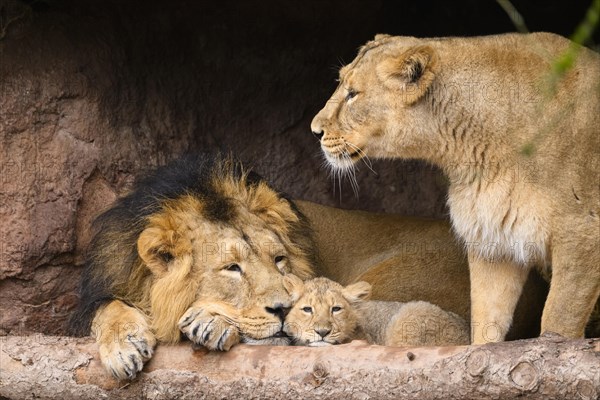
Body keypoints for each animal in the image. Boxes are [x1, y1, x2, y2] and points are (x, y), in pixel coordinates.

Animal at [69, 155, 314, 380]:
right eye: (232, 267)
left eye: (279, 259)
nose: (285, 309)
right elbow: (107, 306)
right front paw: (124, 346)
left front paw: (210, 323)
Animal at [312, 32, 596, 344]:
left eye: (353, 94)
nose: (315, 130)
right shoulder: (493, 240)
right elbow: (485, 322)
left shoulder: (581, 233)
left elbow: (559, 320)